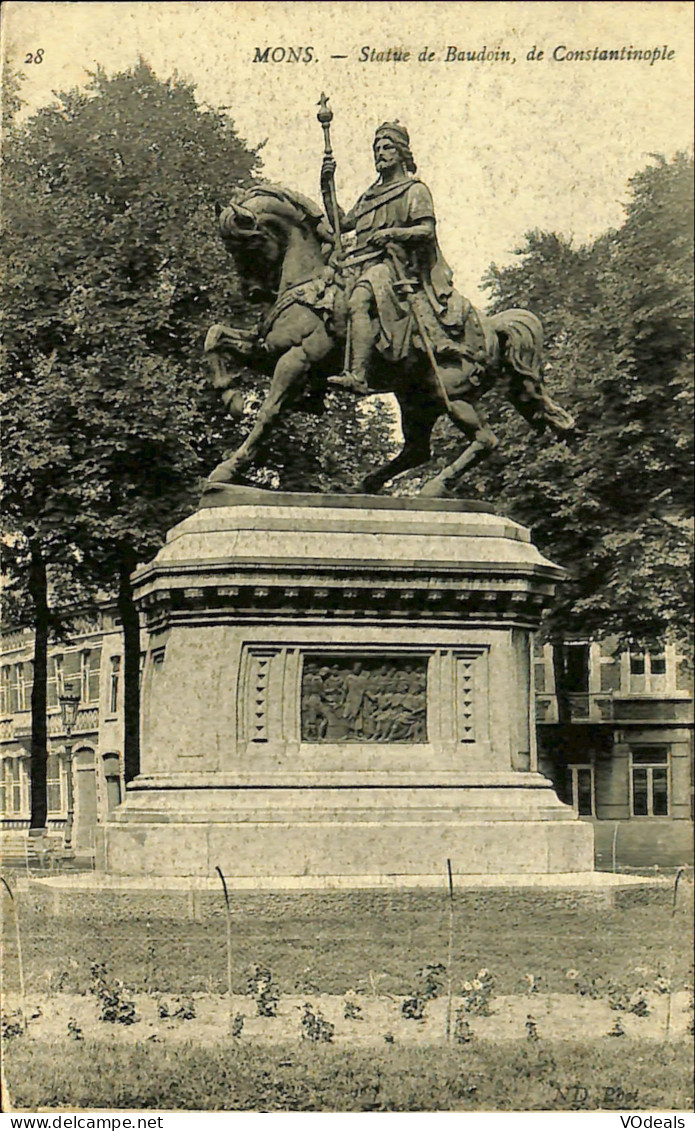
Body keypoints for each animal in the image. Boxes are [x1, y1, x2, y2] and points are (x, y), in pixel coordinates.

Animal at [203, 185, 574, 495]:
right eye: (230, 247)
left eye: (249, 243)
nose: (253, 293)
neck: (308, 285)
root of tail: (493, 327)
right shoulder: (266, 350)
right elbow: (215, 336)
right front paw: (229, 394)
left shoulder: (297, 358)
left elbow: (268, 412)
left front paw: (226, 470)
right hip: (416, 400)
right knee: (417, 449)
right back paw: (364, 486)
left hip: (453, 395)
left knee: (486, 440)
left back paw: (433, 487)